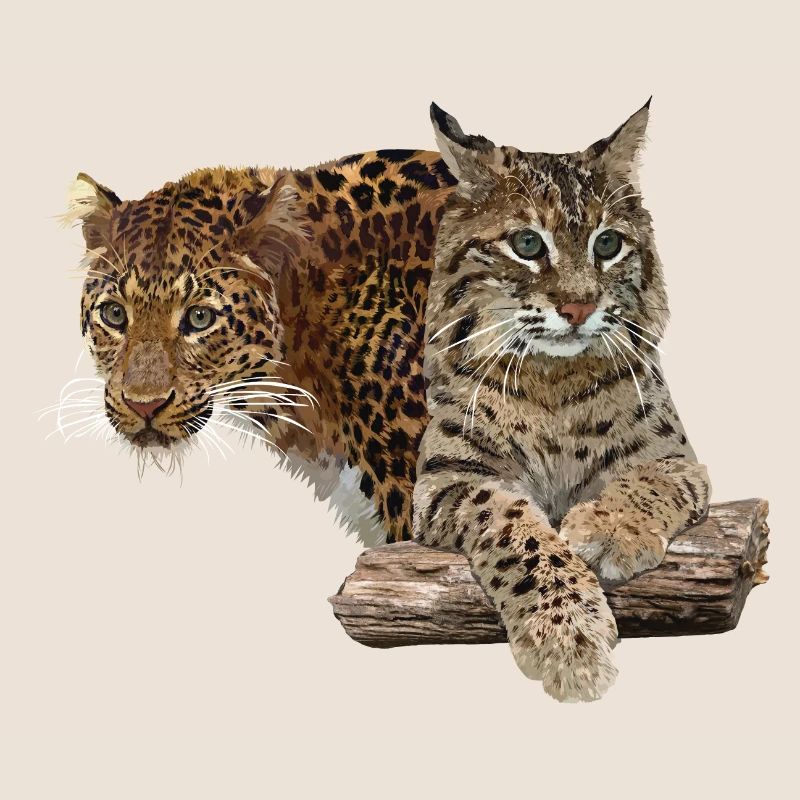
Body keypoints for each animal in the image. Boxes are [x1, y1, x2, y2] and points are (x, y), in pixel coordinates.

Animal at [413, 101, 711, 701]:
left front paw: (611, 529)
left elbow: (649, 480)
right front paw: (568, 639)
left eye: (607, 245)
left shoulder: (678, 460)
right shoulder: (446, 479)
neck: (553, 377)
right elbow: (513, 525)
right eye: (528, 245)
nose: (579, 308)